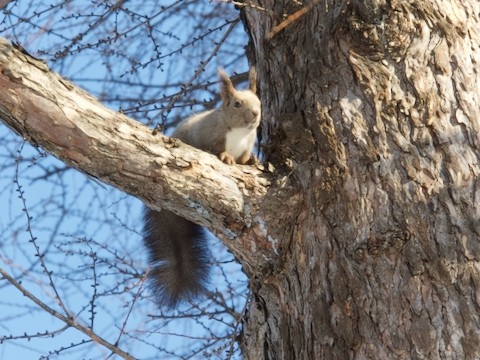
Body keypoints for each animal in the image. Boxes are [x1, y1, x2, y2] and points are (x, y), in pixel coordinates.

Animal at [143, 69, 262, 308]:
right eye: (237, 104)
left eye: (259, 103)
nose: (255, 114)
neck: (240, 133)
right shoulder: (208, 136)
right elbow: (214, 149)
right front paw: (226, 156)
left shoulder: (246, 145)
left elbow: (245, 158)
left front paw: (253, 160)